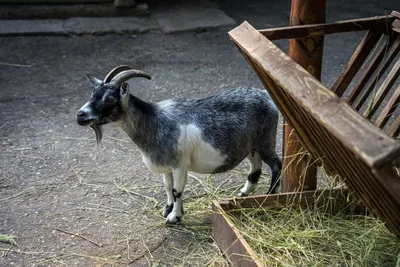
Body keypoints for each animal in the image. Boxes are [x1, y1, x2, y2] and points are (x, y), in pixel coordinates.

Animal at [76, 66, 282, 225]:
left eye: (110, 99)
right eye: (93, 94)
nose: (80, 115)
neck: (155, 122)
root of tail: (266, 95)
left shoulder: (180, 165)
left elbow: (177, 190)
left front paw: (174, 217)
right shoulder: (167, 166)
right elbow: (168, 187)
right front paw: (168, 209)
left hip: (265, 140)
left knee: (276, 164)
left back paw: (270, 195)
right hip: (251, 145)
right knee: (256, 166)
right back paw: (244, 193)